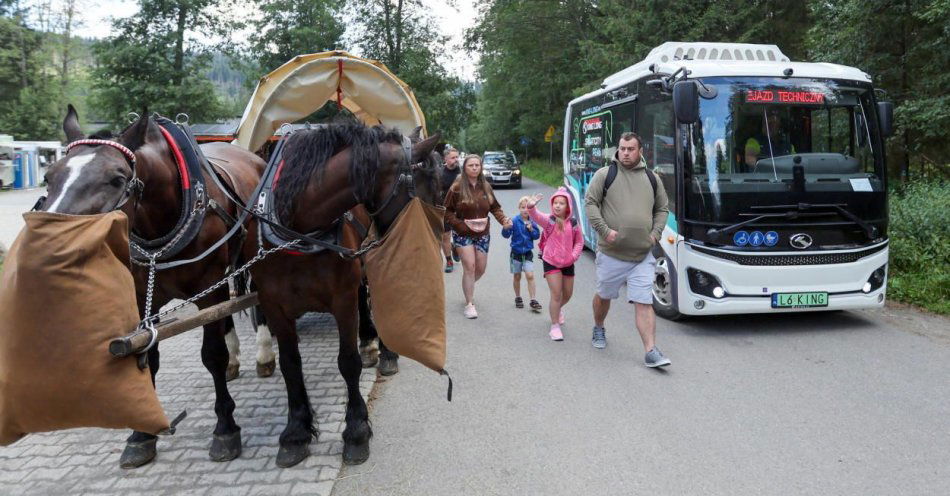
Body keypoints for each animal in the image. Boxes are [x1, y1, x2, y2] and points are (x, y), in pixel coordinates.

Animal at [40, 105, 264, 468]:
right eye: (49, 176)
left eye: (118, 179)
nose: (49, 240)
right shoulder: (142, 295)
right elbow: (148, 356)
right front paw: (141, 436)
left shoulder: (209, 289)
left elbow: (211, 355)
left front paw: (225, 428)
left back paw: (264, 355)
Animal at [244, 122, 440, 466]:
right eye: (425, 183)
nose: (436, 237)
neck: (298, 229)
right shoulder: (273, 304)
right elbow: (290, 364)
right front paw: (295, 432)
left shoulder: (342, 300)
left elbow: (348, 362)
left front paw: (356, 430)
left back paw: (383, 351)